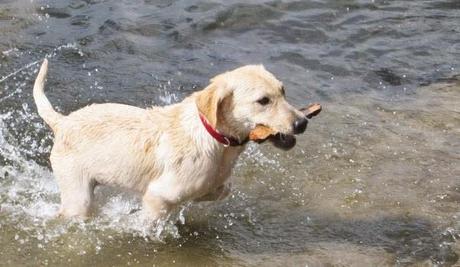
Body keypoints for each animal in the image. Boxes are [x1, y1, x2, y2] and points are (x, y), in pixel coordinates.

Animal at [31, 59, 306, 221]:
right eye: (263, 101)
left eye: (283, 91)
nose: (302, 123)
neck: (214, 138)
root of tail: (62, 122)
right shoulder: (158, 195)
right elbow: (150, 220)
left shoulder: (215, 183)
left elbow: (221, 189)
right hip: (78, 196)